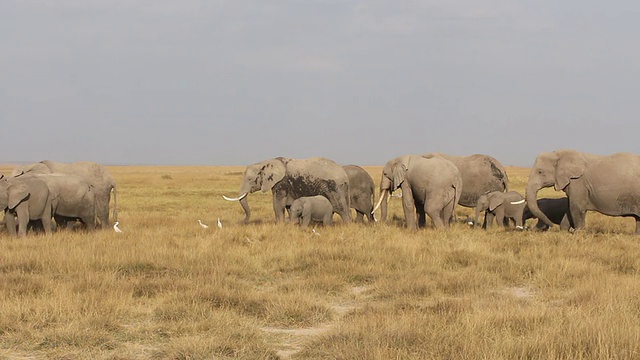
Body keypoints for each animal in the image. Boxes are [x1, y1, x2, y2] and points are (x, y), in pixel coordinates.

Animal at [221, 157, 350, 224]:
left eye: (249, 179)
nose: (243, 221)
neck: (265, 163)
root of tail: (345, 176)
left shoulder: (281, 183)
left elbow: (278, 204)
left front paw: (279, 226)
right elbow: (289, 206)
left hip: (334, 187)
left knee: (340, 208)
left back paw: (346, 226)